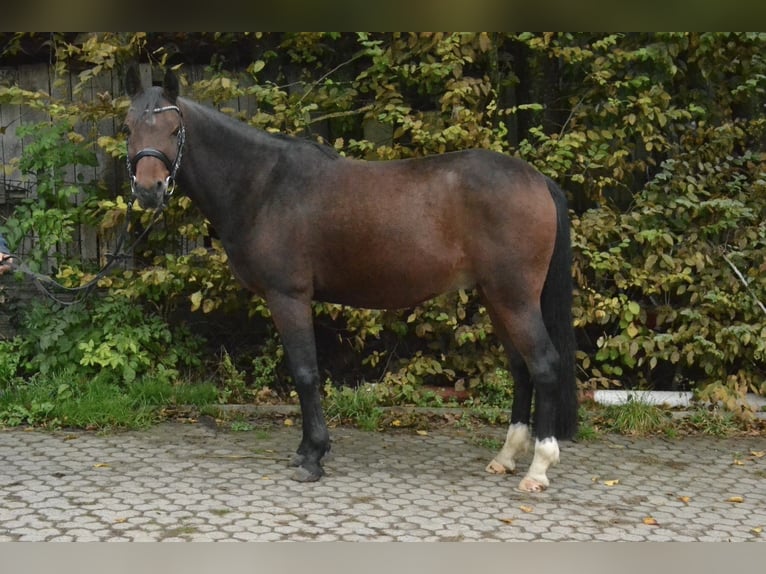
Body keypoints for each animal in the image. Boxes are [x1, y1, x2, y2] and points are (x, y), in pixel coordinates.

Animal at [124, 66, 576, 490]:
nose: (149, 189)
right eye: (129, 127)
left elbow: (305, 373)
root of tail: (538, 179)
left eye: (174, 128)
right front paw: (308, 449)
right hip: (495, 297)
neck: (263, 185)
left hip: (514, 298)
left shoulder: (288, 296)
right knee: (520, 368)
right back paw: (506, 456)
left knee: (544, 365)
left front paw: (313, 456)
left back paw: (537, 469)